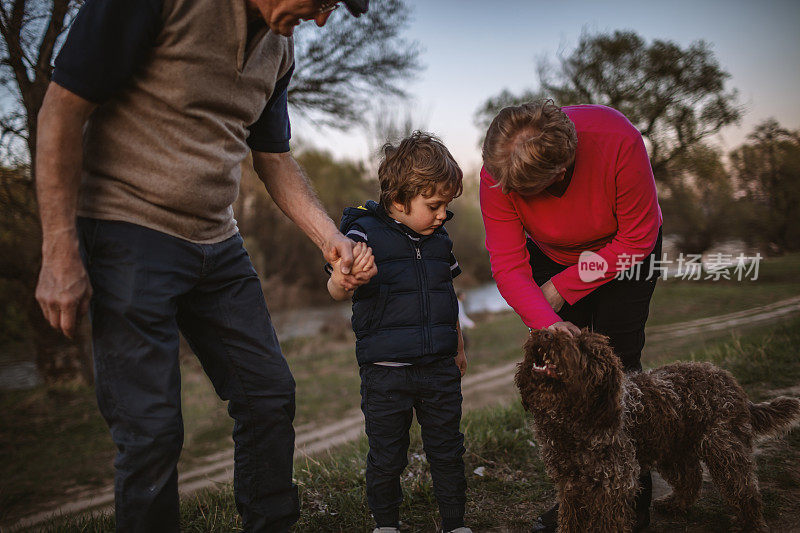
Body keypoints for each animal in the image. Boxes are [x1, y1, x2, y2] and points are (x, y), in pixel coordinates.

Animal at [516, 328, 800, 532]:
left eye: (584, 347)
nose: (543, 333)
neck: (573, 419)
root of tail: (728, 379)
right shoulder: (570, 484)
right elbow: (571, 520)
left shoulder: (613, 484)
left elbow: (609, 523)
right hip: (673, 448)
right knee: (691, 478)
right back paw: (675, 504)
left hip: (724, 449)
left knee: (744, 490)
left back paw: (752, 523)